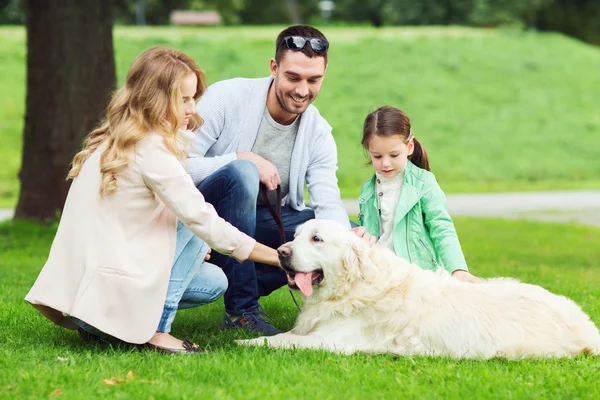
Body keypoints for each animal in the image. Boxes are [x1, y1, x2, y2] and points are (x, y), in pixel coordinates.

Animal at [238, 219, 600, 360]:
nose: (281, 252)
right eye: (297, 236)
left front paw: (242, 342)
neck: (353, 285)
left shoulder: (333, 342)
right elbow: (284, 335)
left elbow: (280, 340)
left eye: (317, 239)